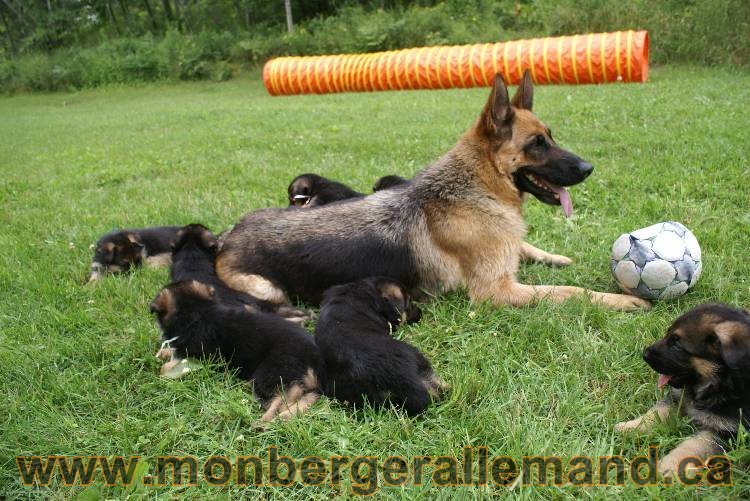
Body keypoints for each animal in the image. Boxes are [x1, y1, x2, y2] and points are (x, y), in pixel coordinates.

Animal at [151, 282, 324, 422]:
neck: (199, 310)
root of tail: (316, 358)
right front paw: (163, 353)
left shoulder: (194, 355)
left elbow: (167, 366)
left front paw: (162, 370)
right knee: (307, 397)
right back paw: (285, 416)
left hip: (270, 370)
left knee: (285, 395)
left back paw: (265, 421)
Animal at [216, 71, 652, 308]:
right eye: (537, 144)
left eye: (551, 136)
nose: (588, 168)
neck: (478, 187)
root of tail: (225, 239)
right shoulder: (497, 292)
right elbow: (571, 291)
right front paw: (621, 299)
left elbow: (529, 249)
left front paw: (553, 255)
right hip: (268, 291)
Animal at [616, 302, 750, 474]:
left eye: (677, 345)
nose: (644, 354)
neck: (718, 382)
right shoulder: (678, 398)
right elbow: (656, 413)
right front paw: (629, 428)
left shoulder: (727, 431)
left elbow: (694, 445)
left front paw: (668, 467)